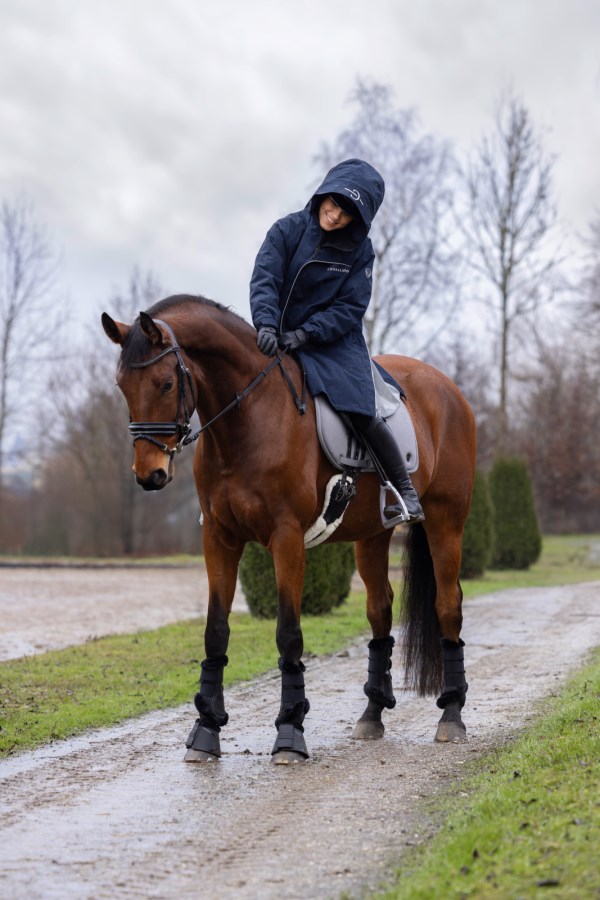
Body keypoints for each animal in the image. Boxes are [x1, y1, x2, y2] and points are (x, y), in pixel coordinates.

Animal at [102, 294, 476, 764]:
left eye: (166, 385)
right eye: (122, 387)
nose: (148, 474)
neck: (248, 419)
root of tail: (447, 387)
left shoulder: (287, 537)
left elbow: (288, 632)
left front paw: (290, 731)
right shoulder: (219, 538)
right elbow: (215, 631)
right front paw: (206, 729)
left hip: (447, 521)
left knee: (448, 606)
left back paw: (452, 714)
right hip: (373, 536)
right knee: (380, 610)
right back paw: (372, 715)